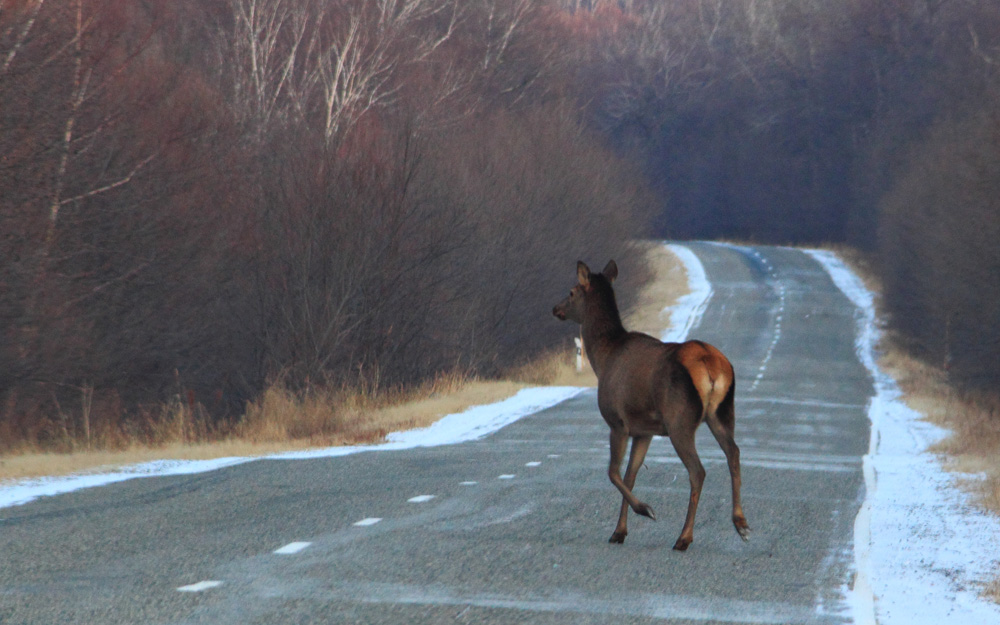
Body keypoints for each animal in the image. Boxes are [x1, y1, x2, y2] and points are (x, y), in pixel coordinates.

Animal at [552, 260, 748, 548]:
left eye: (572, 291)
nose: (556, 308)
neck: (603, 358)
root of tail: (710, 365)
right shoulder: (644, 431)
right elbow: (630, 476)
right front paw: (619, 531)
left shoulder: (618, 422)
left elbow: (613, 472)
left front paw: (645, 510)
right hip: (722, 412)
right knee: (733, 453)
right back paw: (741, 523)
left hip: (680, 419)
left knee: (698, 470)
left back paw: (684, 537)